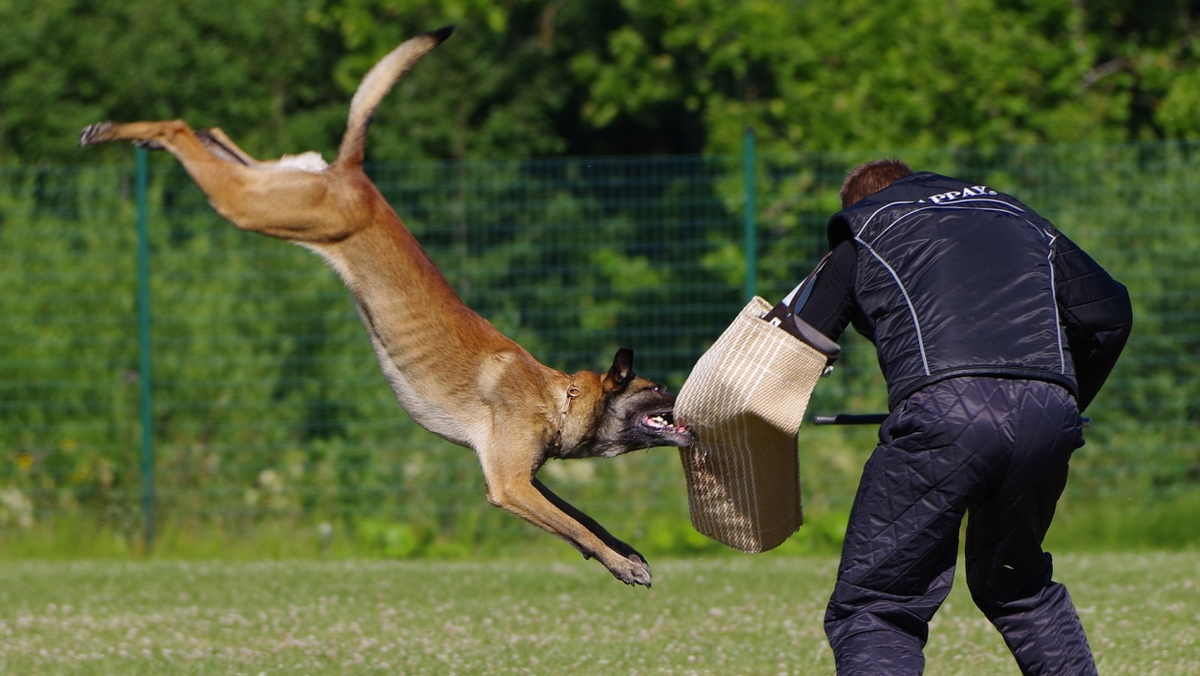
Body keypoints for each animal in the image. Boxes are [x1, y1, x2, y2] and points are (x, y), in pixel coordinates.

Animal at [79, 26, 696, 588]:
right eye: (660, 388)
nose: (691, 403)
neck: (559, 397)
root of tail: (353, 174)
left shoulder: (523, 477)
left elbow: (583, 517)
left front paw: (624, 551)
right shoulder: (510, 485)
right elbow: (574, 526)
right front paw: (621, 563)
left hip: (275, 185)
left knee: (214, 133)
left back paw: (136, 136)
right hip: (259, 208)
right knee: (183, 128)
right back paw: (115, 130)